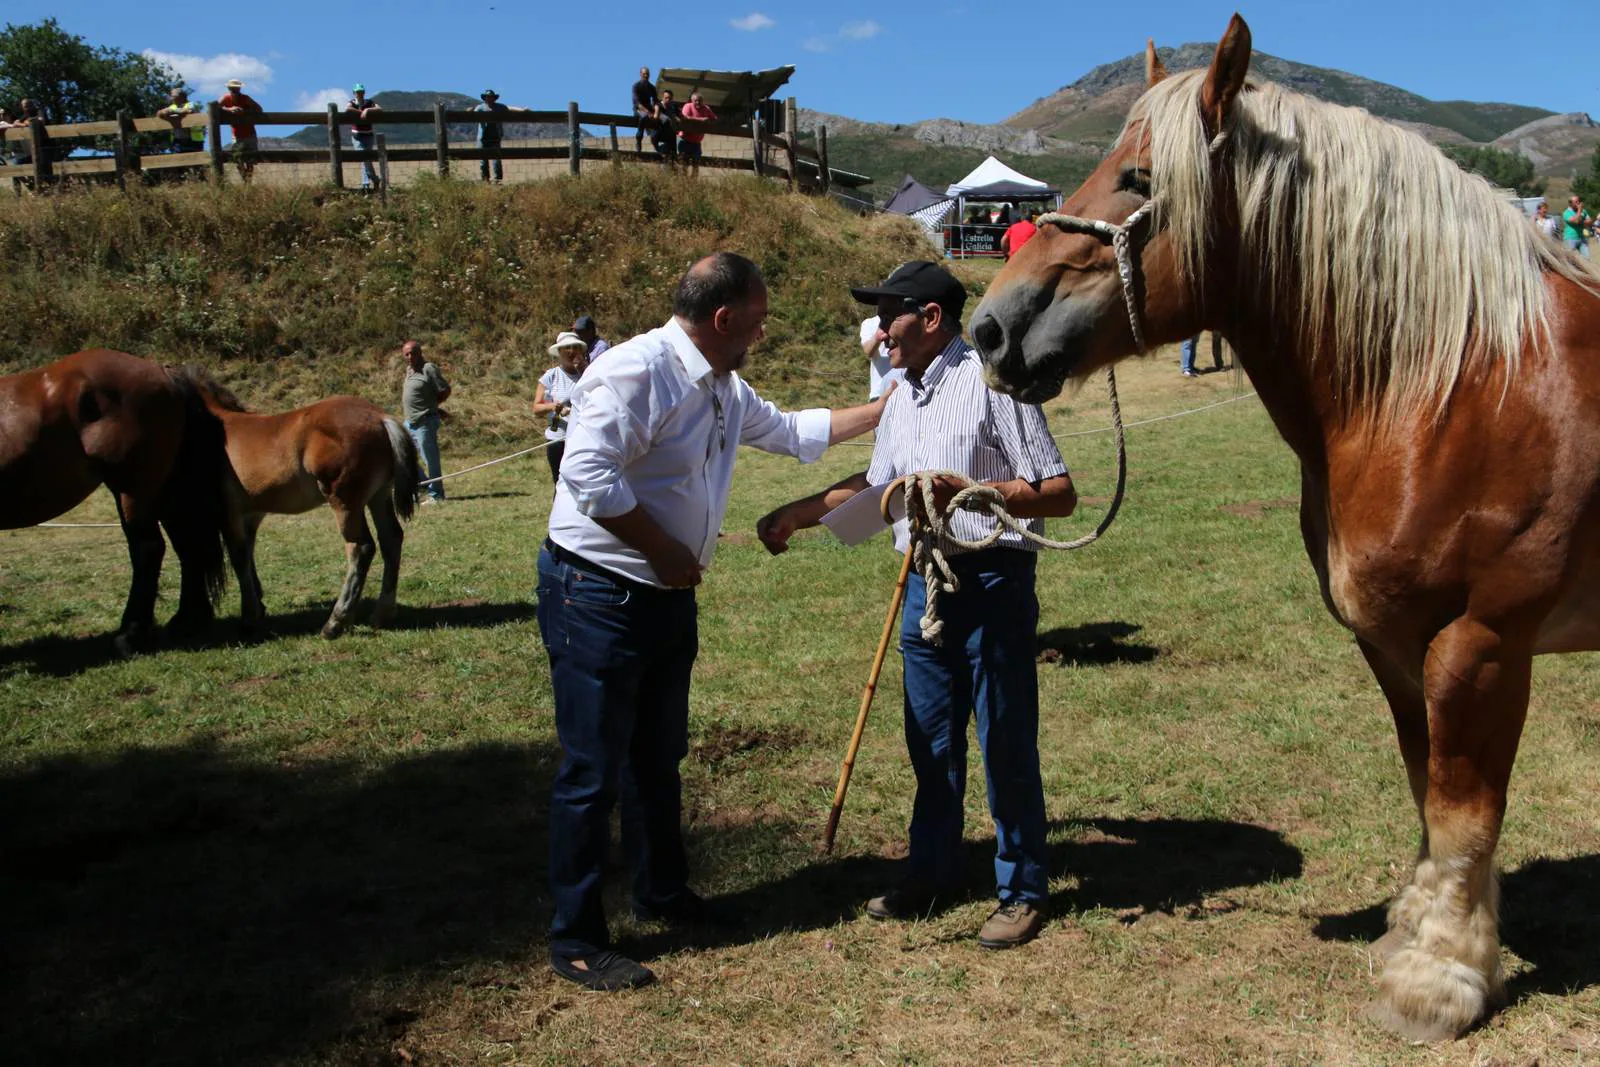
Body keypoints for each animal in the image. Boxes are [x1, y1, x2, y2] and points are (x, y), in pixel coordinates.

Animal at [0, 350, 228, 652]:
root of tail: (165, 372)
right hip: (168, 490)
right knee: (188, 545)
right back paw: (186, 623)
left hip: (132, 489)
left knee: (148, 548)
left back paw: (131, 634)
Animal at [966, 10, 1600, 1043]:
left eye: (1136, 178)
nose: (988, 328)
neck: (1462, 385)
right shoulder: (1396, 645)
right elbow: (1428, 790)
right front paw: (1417, 933)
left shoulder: (1481, 644)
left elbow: (1465, 808)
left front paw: (1441, 979)